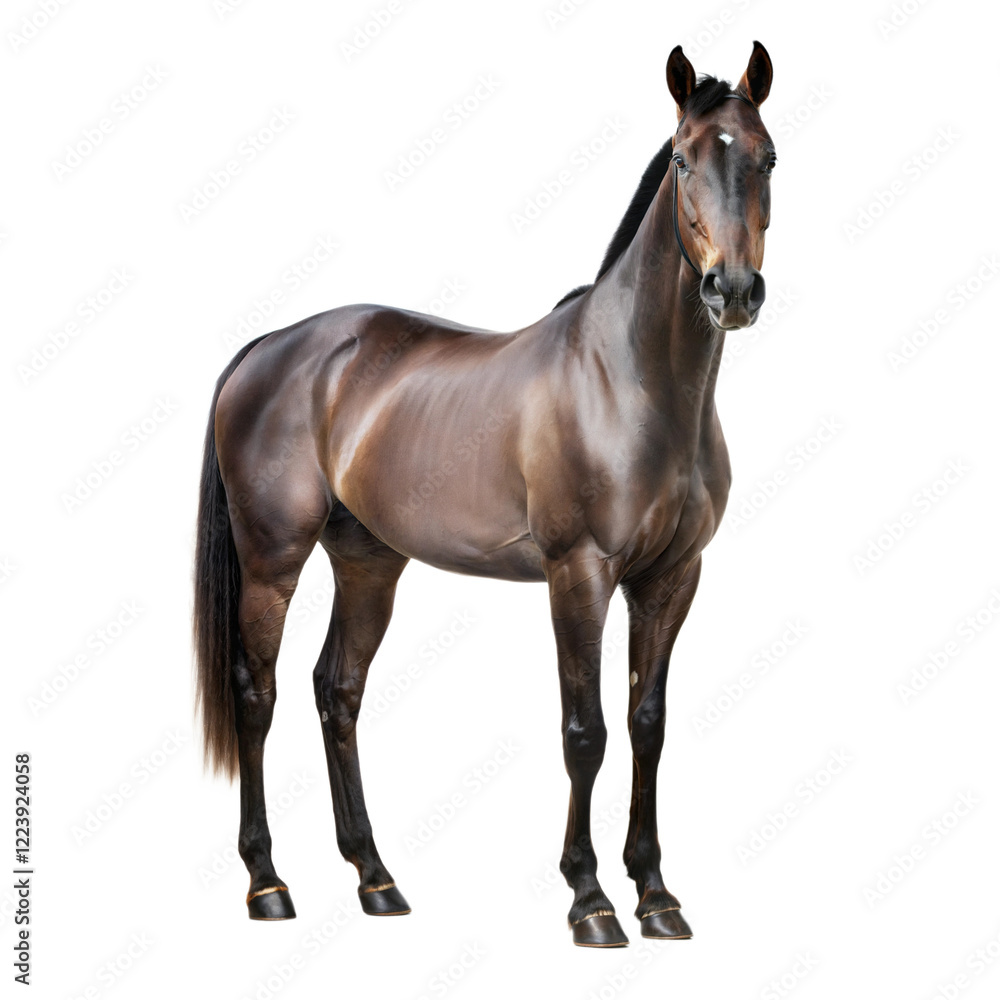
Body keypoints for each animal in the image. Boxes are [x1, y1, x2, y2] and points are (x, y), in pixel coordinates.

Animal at [193, 41, 775, 947]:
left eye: (767, 158)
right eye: (683, 159)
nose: (733, 290)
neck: (634, 382)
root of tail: (268, 347)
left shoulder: (671, 579)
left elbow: (647, 725)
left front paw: (656, 895)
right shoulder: (579, 575)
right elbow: (586, 732)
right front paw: (590, 900)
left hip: (369, 563)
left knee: (337, 690)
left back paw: (376, 879)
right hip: (270, 562)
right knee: (259, 695)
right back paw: (267, 885)